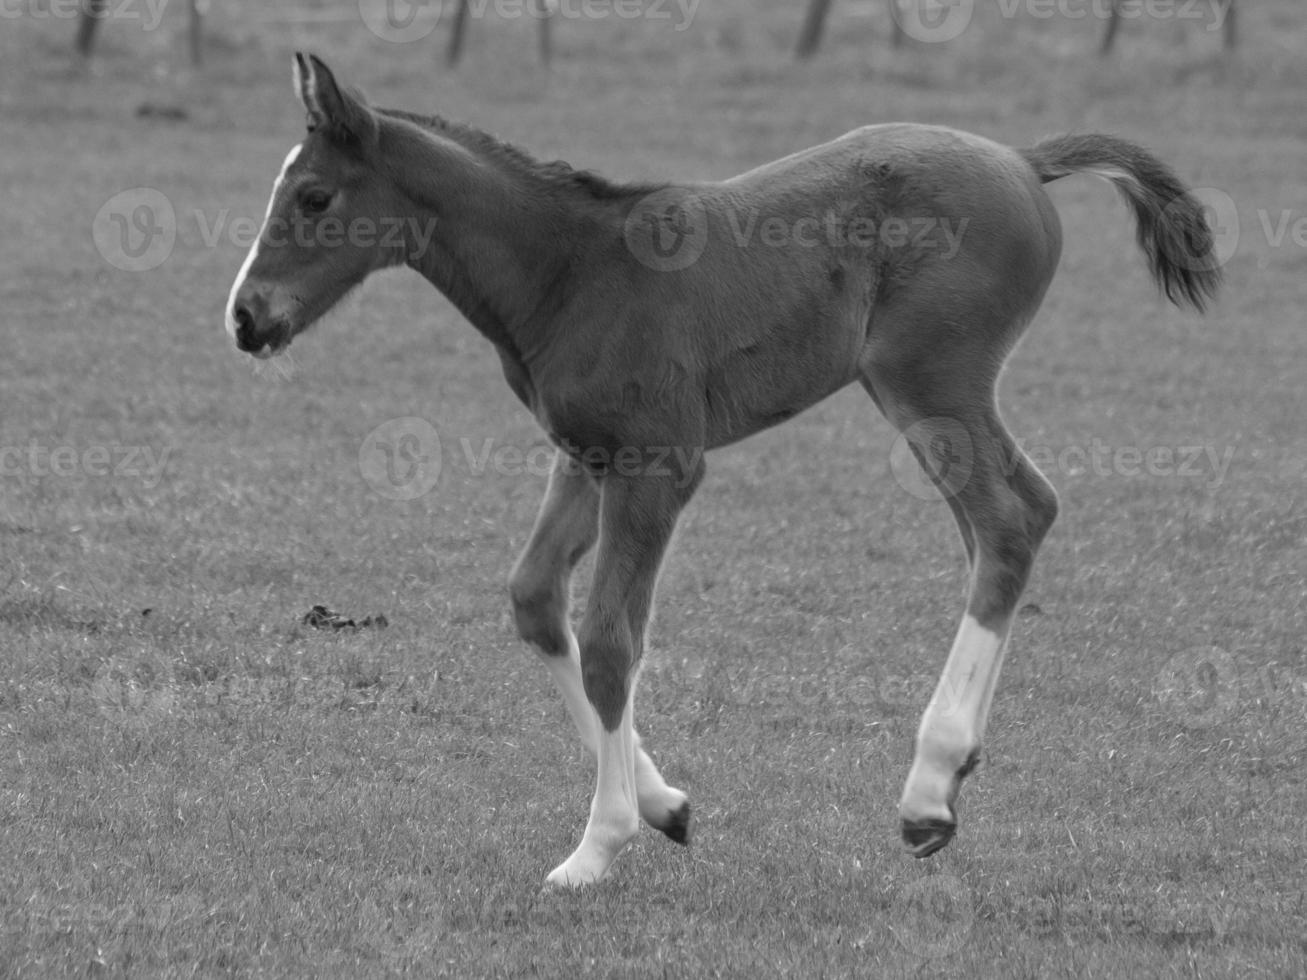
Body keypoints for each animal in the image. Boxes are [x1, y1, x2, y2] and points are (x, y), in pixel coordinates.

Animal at [222, 51, 1212, 888]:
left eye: (312, 195)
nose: (244, 318)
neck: (571, 273)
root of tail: (1020, 158)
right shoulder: (587, 456)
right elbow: (537, 601)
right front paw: (665, 806)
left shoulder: (659, 466)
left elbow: (611, 641)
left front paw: (598, 844)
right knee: (1001, 524)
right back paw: (952, 774)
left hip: (929, 378)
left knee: (1010, 518)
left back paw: (927, 788)